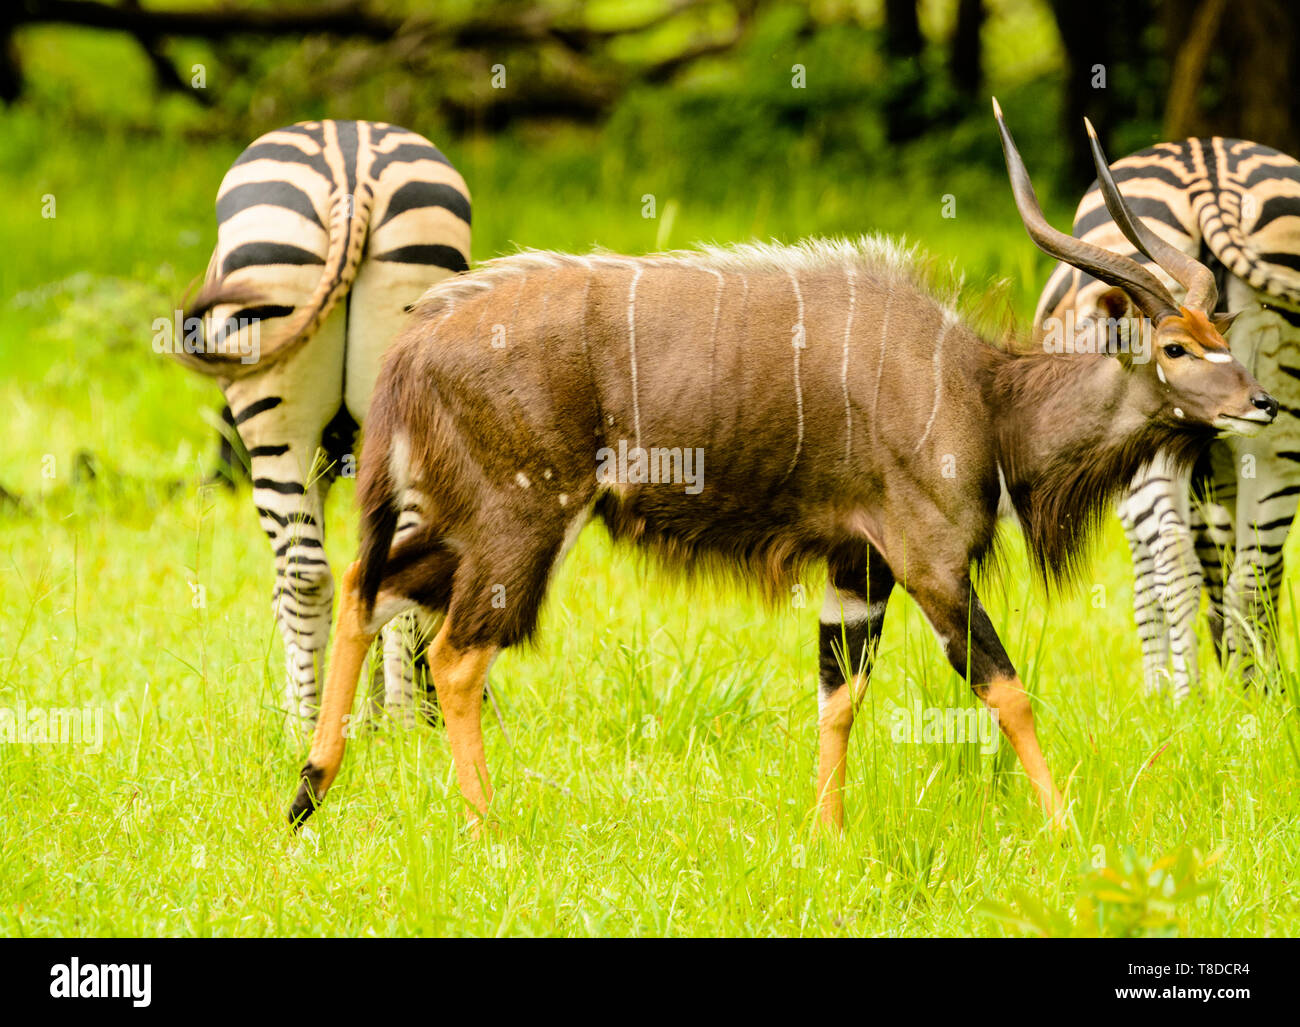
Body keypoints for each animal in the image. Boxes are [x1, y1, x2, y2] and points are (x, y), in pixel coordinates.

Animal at [170, 119, 471, 732]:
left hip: (273, 408)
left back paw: (305, 728)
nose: (437, 715)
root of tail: (351, 168)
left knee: (303, 574)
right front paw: (378, 716)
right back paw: (401, 727)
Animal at [1035, 136, 1300, 697]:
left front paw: (1157, 686)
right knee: (1252, 570)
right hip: (1279, 436)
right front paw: (1257, 679)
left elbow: (1146, 583)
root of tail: (1210, 172)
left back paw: (1185, 696)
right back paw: (1248, 699)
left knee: (1177, 560)